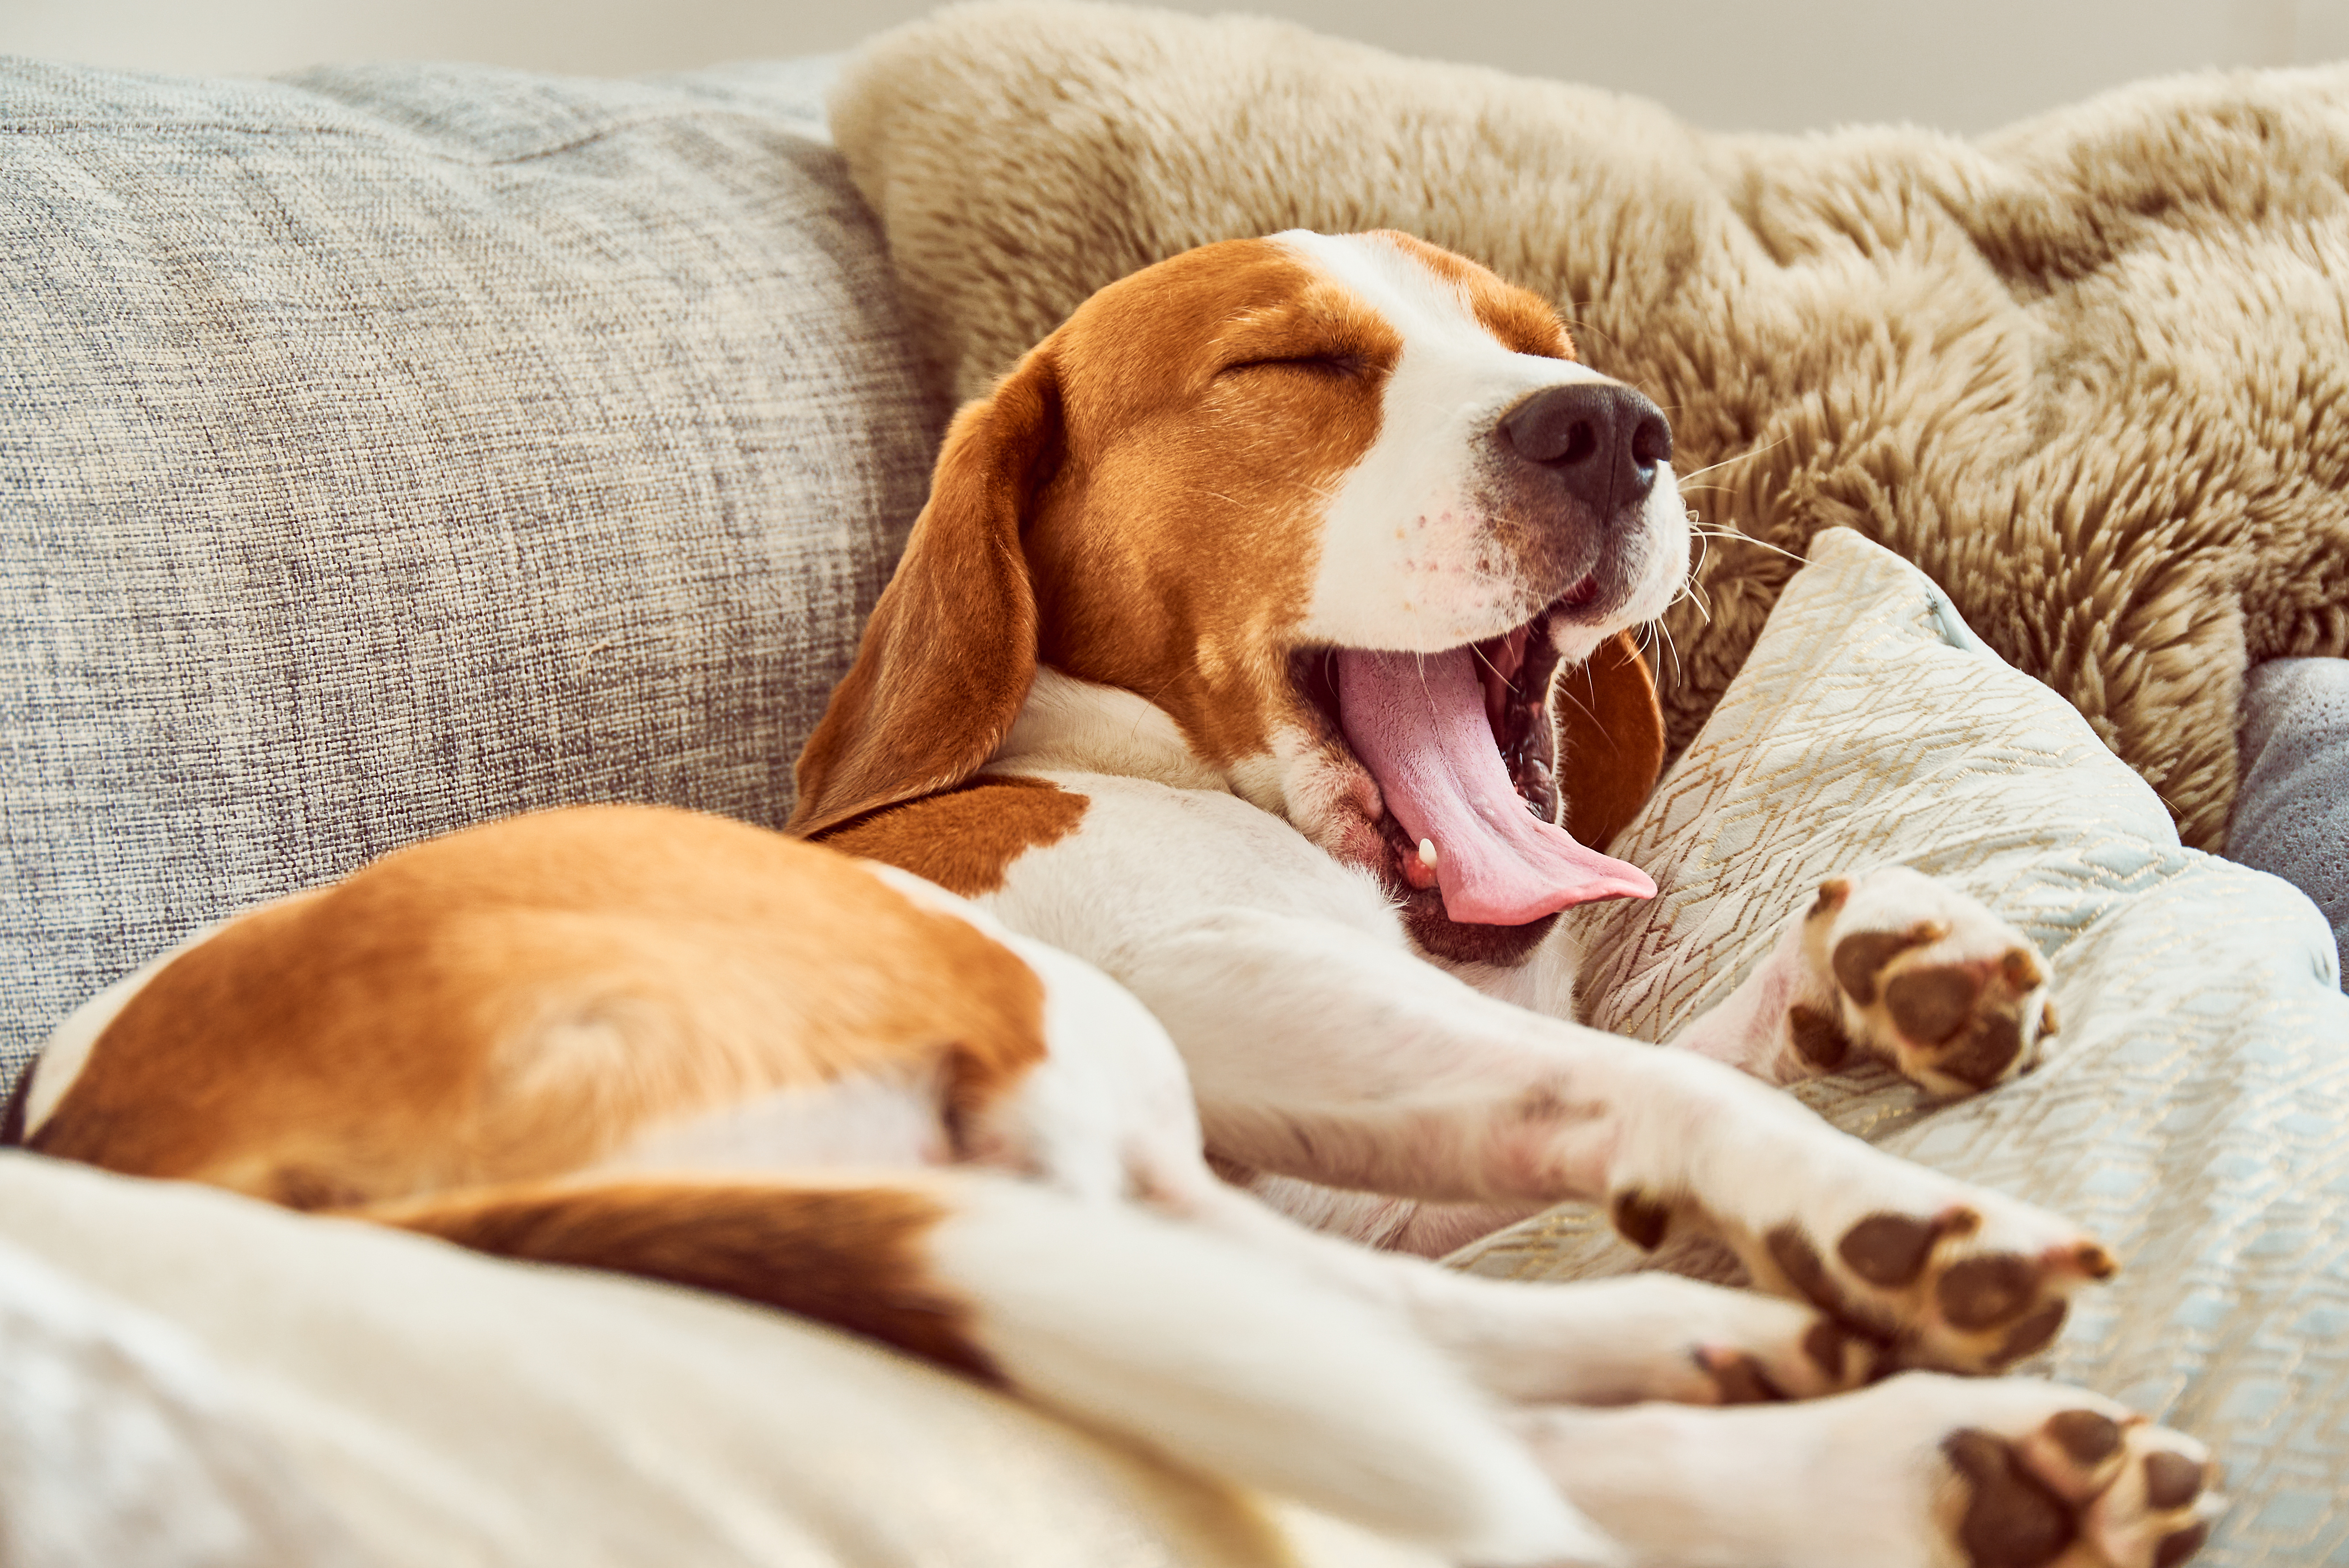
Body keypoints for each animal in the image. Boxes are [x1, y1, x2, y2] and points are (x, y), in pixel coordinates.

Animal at [9, 232, 2217, 1568]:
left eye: (1529, 342)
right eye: (1294, 363)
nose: (1605, 422)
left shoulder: (1340, 1141)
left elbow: (1601, 1088)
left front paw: (1871, 968)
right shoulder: (1210, 982)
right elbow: (1630, 1083)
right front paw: (1856, 1194)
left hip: (1130, 1183)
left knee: (1411, 1371)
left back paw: (1830, 1414)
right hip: (1055, 1040)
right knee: (1419, 1406)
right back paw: (1862, 1394)